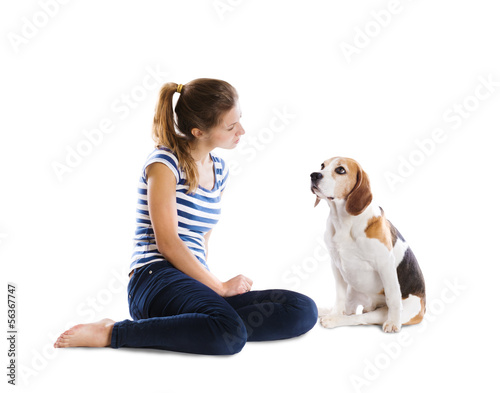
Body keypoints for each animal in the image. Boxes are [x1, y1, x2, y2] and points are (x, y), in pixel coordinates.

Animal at [312, 156, 426, 330]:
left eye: (340, 170)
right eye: (322, 165)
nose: (313, 175)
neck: (343, 221)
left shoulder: (385, 264)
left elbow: (392, 296)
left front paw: (393, 322)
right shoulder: (335, 265)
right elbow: (339, 297)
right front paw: (334, 312)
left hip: (385, 312)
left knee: (359, 318)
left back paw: (334, 320)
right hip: (352, 292)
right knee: (348, 310)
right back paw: (328, 312)